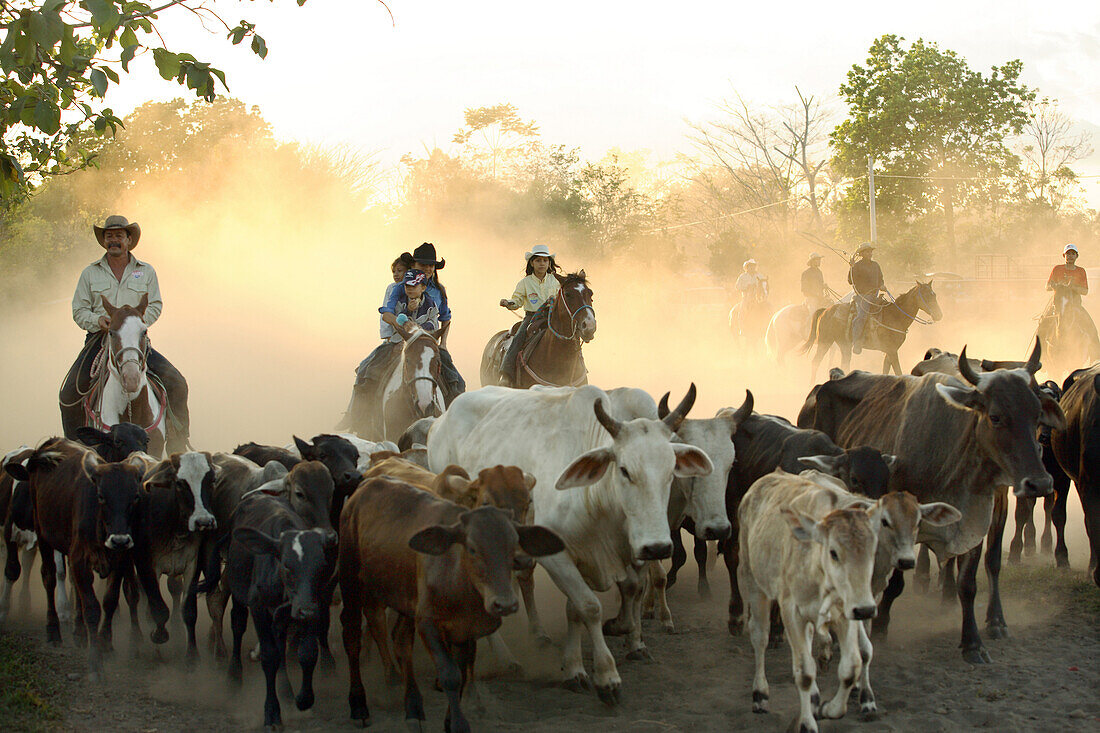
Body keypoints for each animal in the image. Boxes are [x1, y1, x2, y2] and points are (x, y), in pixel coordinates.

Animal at [338, 477, 563, 726]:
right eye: (472, 548)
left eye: (513, 546)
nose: (504, 604)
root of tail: (367, 484)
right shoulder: (428, 623)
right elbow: (450, 675)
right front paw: (457, 723)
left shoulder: (464, 630)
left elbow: (462, 672)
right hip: (350, 579)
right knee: (353, 635)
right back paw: (359, 703)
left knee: (400, 640)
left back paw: (412, 704)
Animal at [429, 378, 712, 699]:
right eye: (624, 470)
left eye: (670, 471)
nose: (658, 547)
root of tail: (440, 420)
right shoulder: (556, 557)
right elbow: (589, 606)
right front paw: (603, 675)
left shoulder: (617, 552)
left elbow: (608, 597)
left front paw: (606, 644)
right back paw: (504, 657)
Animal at [800, 278, 946, 376]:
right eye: (926, 295)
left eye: (935, 295)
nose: (939, 315)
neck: (895, 315)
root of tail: (826, 310)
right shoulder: (892, 351)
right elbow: (898, 372)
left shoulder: (890, 351)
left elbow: (886, 371)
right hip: (825, 341)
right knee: (815, 362)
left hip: (844, 345)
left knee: (844, 364)